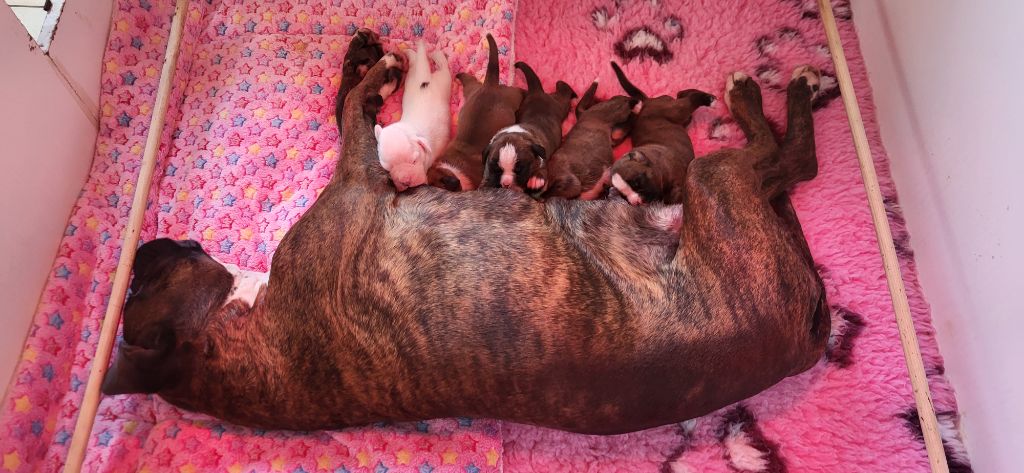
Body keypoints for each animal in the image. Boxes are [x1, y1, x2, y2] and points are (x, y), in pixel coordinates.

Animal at [374, 40, 450, 191]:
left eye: (414, 161)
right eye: (388, 169)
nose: (405, 181)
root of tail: (425, 79)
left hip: (444, 83)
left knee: (444, 68)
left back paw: (437, 56)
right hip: (411, 77)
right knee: (415, 60)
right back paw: (409, 52)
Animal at [425, 33, 524, 193]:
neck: (452, 170)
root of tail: (489, 85)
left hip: (511, 98)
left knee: (520, 92)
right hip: (472, 89)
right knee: (469, 79)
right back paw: (460, 75)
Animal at [479, 61, 577, 194]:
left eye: (519, 169)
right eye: (497, 169)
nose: (506, 184)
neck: (516, 132)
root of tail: (537, 92)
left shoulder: (542, 156)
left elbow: (543, 168)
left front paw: (536, 179)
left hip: (560, 106)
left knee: (564, 92)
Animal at [606, 61, 712, 204]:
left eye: (637, 183)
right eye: (623, 196)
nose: (636, 202)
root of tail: (647, 102)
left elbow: (674, 196)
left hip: (675, 111)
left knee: (688, 101)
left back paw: (707, 99)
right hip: (681, 117)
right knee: (682, 98)